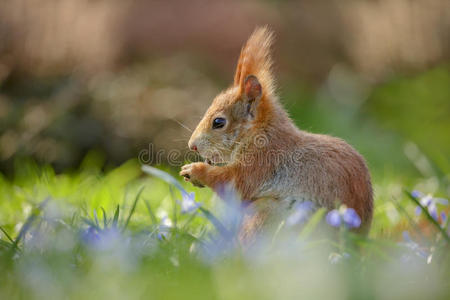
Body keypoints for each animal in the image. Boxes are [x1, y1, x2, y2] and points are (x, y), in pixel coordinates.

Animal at [179, 25, 372, 241]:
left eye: (218, 122)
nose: (192, 146)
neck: (260, 133)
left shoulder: (262, 162)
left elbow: (234, 183)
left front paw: (195, 170)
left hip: (269, 215)